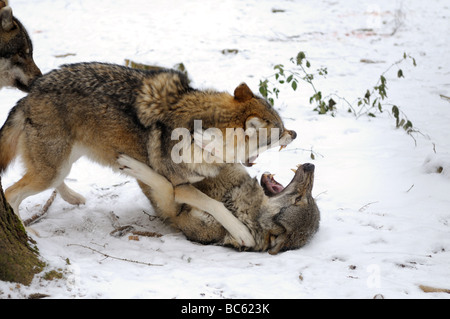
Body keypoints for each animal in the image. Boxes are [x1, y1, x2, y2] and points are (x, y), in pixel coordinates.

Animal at [0, 63, 298, 248]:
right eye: (280, 132)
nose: (294, 134)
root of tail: (29, 95)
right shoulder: (181, 188)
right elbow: (216, 205)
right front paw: (242, 234)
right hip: (50, 171)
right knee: (10, 193)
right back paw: (29, 235)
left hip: (63, 164)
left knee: (51, 182)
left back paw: (74, 198)